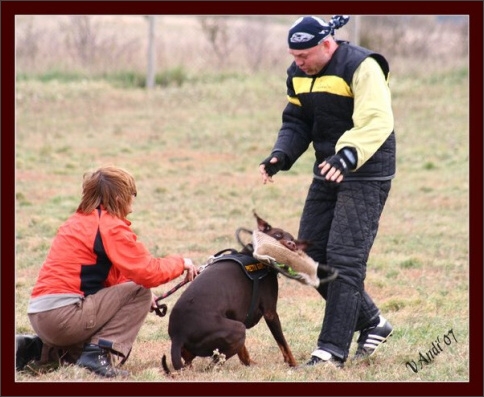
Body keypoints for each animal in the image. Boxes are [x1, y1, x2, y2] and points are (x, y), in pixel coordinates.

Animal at [162, 210, 306, 372]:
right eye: (277, 235)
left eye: (293, 240)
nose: (291, 245)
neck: (254, 256)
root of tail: (178, 335)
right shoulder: (270, 313)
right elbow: (284, 344)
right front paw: (294, 365)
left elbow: (244, 352)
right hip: (238, 329)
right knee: (213, 365)